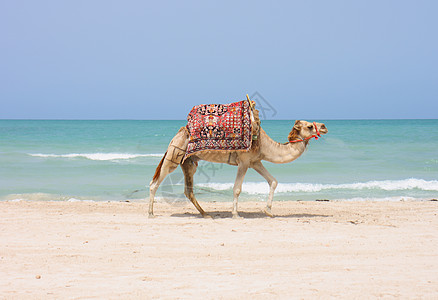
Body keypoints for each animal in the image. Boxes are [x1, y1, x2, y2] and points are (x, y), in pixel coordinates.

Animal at [149, 118, 326, 219]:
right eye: (309, 126)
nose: (324, 126)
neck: (264, 144)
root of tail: (178, 133)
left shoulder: (256, 162)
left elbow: (273, 181)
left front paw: (268, 211)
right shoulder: (244, 161)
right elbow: (237, 189)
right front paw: (236, 215)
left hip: (188, 162)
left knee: (188, 191)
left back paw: (206, 214)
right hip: (174, 154)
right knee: (154, 183)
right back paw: (151, 214)